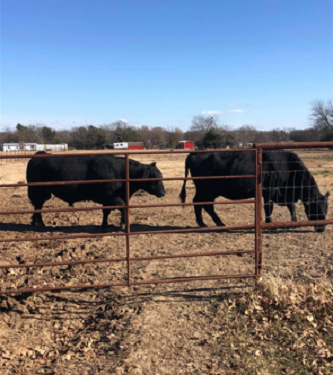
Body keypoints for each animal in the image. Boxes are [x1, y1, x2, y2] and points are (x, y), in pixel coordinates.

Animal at [26, 152, 165, 229]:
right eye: (155, 177)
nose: (164, 193)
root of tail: (37, 156)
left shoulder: (108, 200)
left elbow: (106, 212)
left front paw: (103, 226)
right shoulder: (112, 197)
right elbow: (123, 207)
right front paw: (123, 224)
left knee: (37, 207)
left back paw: (35, 222)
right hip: (39, 193)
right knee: (38, 207)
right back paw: (40, 224)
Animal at [180, 151, 328, 234]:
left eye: (326, 209)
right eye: (315, 208)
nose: (322, 228)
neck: (288, 167)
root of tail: (194, 154)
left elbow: (291, 207)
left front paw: (294, 221)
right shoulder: (269, 192)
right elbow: (269, 208)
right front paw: (269, 224)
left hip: (206, 190)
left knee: (199, 203)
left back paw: (205, 223)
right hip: (207, 190)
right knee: (204, 204)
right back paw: (214, 223)